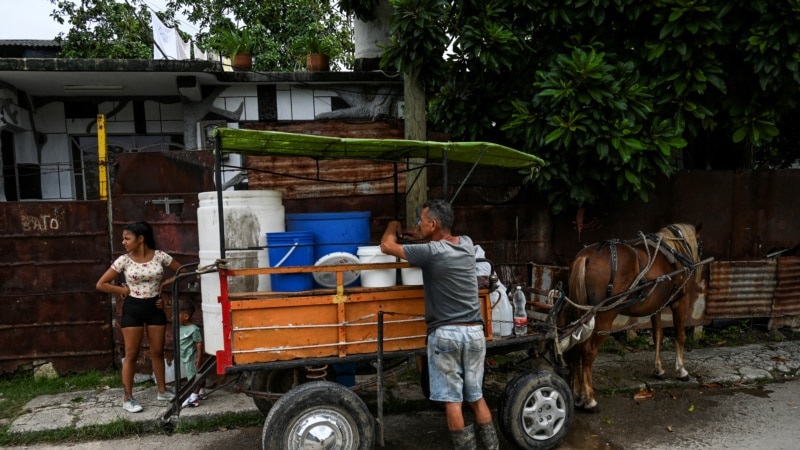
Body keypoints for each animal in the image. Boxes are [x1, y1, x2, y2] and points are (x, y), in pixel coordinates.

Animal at [560, 222, 704, 412]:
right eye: (700, 246)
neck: (675, 250)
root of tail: (586, 255)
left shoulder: (656, 307)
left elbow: (658, 335)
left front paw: (659, 370)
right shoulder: (680, 301)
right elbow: (680, 335)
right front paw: (681, 371)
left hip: (581, 314)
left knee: (576, 348)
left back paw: (578, 395)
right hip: (604, 316)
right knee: (588, 351)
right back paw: (589, 400)